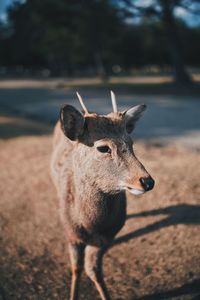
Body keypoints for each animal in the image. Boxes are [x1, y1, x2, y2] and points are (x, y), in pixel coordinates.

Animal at [50, 92, 155, 300]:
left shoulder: (107, 237)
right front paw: (73, 295)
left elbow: (94, 270)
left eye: (131, 143)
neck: (91, 225)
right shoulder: (71, 234)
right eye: (103, 148)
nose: (147, 181)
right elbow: (76, 268)